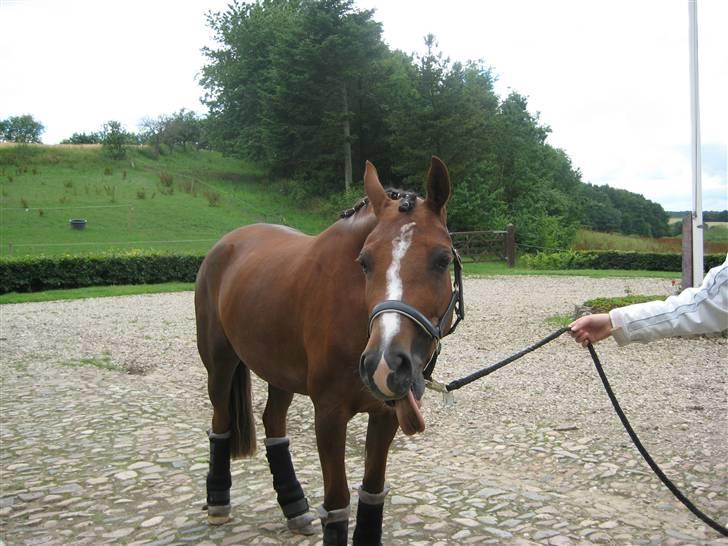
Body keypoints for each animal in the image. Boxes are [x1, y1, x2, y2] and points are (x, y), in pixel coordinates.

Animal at [196, 155, 464, 540]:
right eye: (365, 261)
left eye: (442, 259)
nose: (384, 365)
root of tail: (227, 243)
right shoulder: (329, 415)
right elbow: (337, 503)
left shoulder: (385, 416)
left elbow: (372, 491)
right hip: (219, 364)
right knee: (221, 421)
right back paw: (218, 501)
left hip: (280, 372)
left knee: (273, 422)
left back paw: (294, 506)